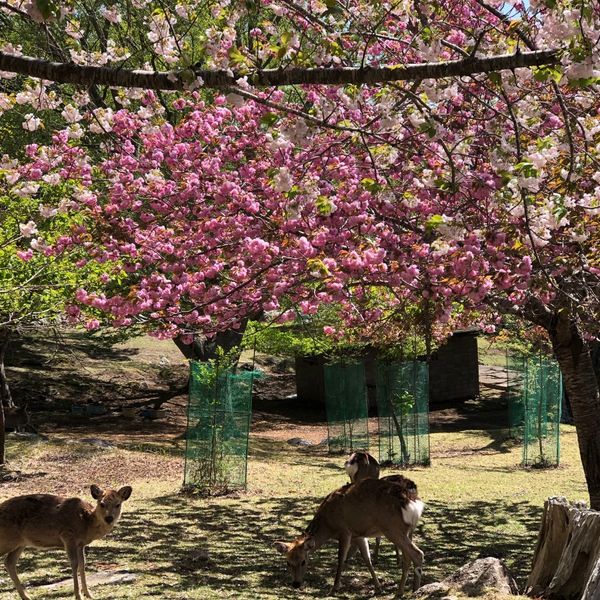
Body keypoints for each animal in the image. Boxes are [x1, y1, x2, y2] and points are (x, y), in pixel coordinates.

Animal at [0, 482, 132, 600]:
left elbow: (82, 564)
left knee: (9, 562)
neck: (86, 524)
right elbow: (74, 563)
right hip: (7, 539)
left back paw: (26, 596)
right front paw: (78, 595)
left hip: (20, 543)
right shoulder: (68, 536)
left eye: (118, 504)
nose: (109, 518)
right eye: (102, 503)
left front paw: (88, 594)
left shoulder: (80, 544)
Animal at [274, 478, 424, 596]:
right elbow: (367, 558)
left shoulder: (344, 530)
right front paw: (378, 588)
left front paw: (334, 588)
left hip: (393, 528)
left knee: (417, 553)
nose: (296, 584)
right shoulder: (358, 534)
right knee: (408, 557)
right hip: (406, 531)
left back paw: (411, 590)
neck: (328, 525)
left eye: (304, 561)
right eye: (287, 562)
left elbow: (341, 558)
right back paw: (405, 590)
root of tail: (414, 503)